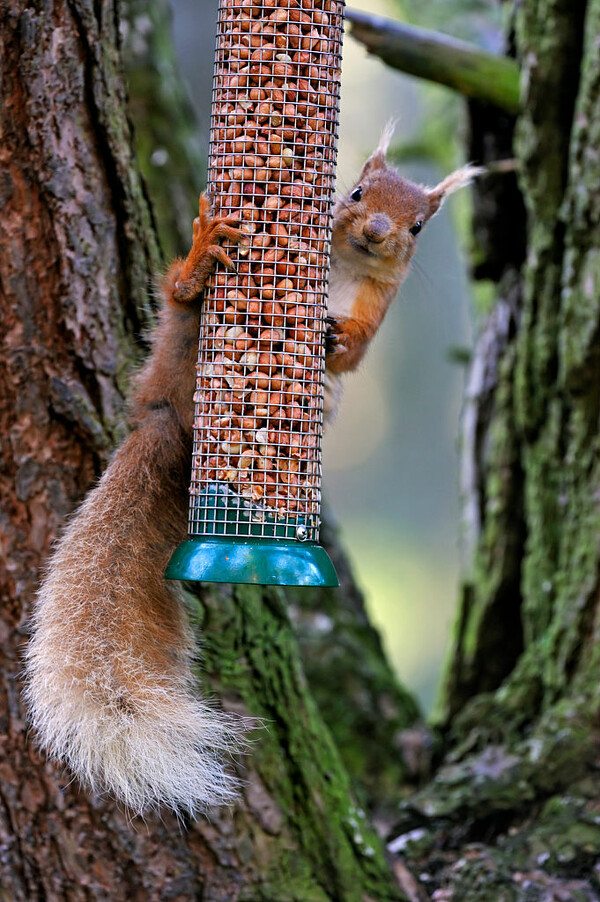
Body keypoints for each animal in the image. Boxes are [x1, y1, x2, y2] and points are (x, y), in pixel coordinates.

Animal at [25, 134, 480, 820]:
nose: (377, 231)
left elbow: (353, 353)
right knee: (181, 295)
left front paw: (335, 336)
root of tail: (167, 418)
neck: (345, 269)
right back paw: (199, 259)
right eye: (356, 193)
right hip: (188, 335)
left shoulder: (377, 310)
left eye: (418, 227)